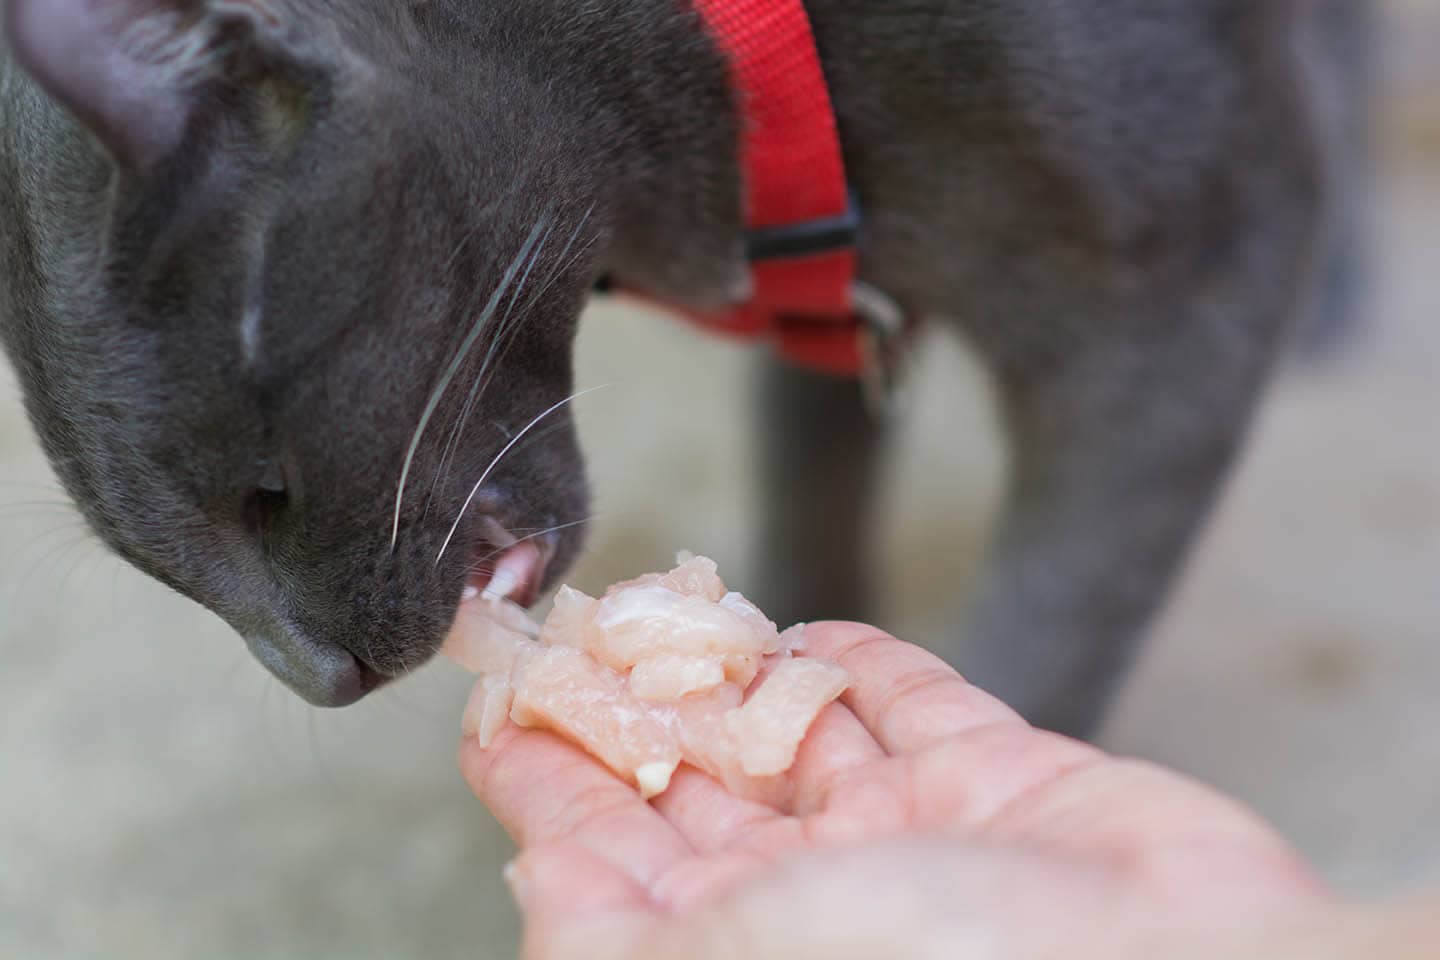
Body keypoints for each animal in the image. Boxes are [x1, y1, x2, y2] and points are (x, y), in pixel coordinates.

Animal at [2, 0, 1370, 736]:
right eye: (152, 567)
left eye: (266, 492)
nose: (318, 682)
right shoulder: (834, 320)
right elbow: (812, 481)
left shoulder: (1191, 278)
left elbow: (1056, 623)